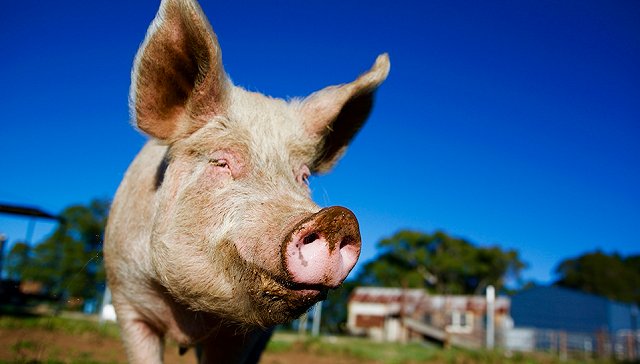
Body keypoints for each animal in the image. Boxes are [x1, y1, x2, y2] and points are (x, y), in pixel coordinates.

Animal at [104, 0, 390, 362]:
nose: (337, 218)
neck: (188, 317)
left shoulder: (248, 336)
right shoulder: (127, 301)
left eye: (303, 176)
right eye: (222, 162)